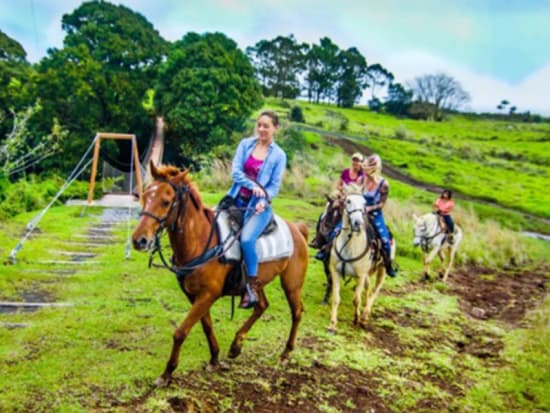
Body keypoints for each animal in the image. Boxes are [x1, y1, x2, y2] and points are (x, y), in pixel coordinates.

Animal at [131, 162, 308, 386]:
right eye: (145, 196)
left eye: (166, 201)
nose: (139, 240)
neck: (200, 241)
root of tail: (297, 229)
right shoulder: (194, 296)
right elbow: (206, 326)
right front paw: (215, 358)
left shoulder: (209, 294)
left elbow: (180, 332)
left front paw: (167, 373)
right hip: (255, 283)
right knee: (261, 305)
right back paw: (236, 345)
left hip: (292, 284)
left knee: (297, 312)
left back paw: (286, 353)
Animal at [328, 185, 392, 334]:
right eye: (348, 201)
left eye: (364, 203)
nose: (358, 223)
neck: (350, 245)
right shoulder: (335, 272)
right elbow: (335, 298)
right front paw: (332, 325)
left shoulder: (360, 276)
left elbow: (356, 300)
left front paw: (356, 319)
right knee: (368, 289)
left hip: (382, 270)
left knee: (375, 290)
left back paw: (365, 315)